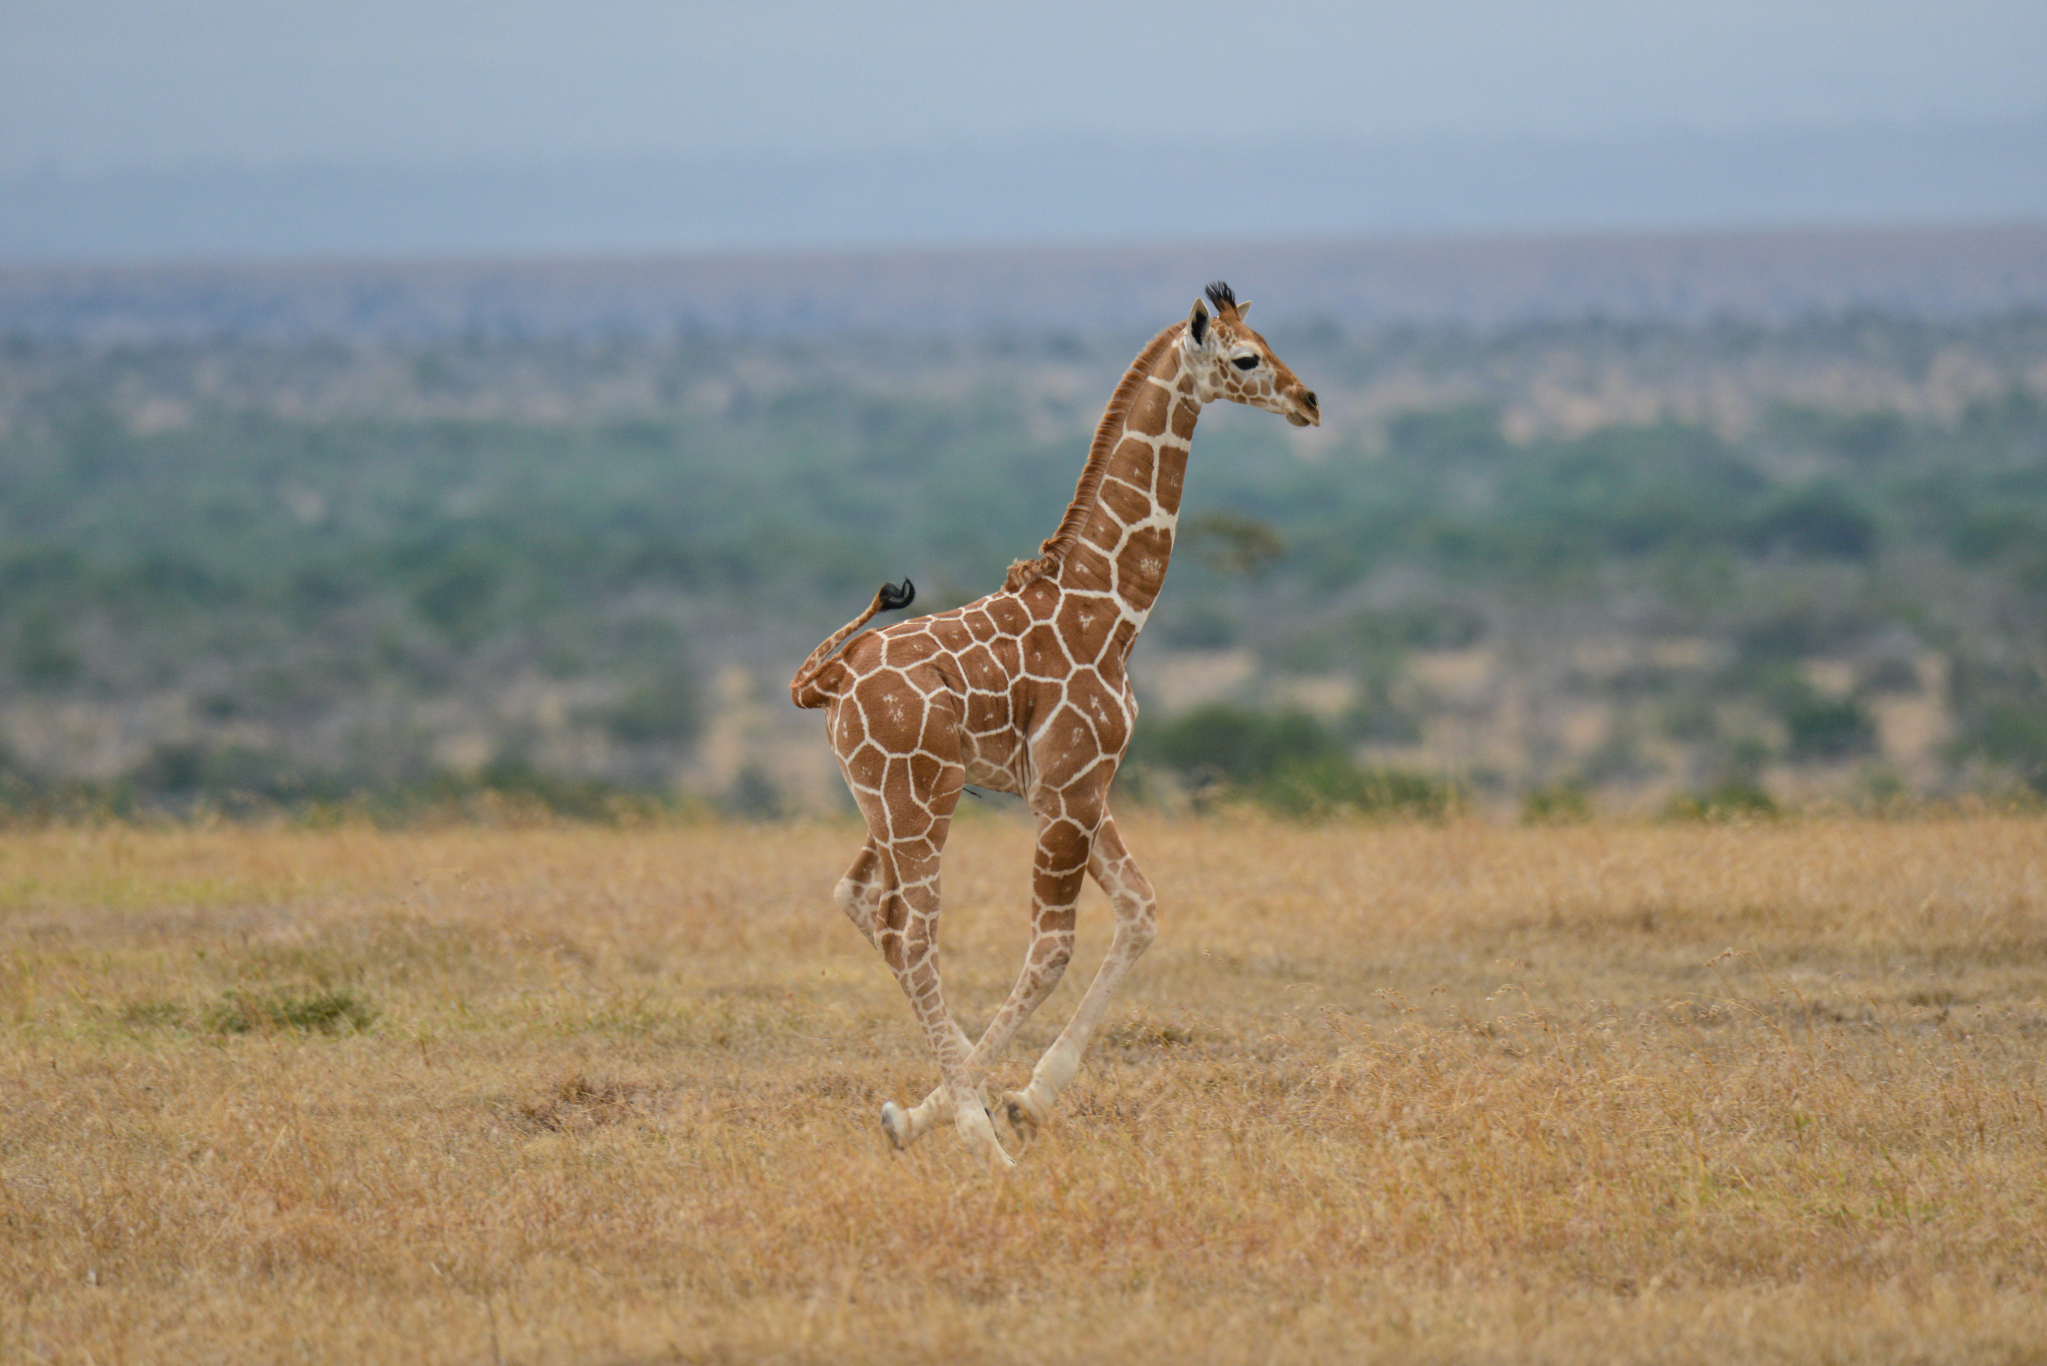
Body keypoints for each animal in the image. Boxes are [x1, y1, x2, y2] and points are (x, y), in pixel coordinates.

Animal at [790, 282, 1318, 1171]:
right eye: (1246, 358)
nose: (1308, 401)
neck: (1112, 611)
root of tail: (830, 682)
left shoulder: (1077, 785)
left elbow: (1140, 911)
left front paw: (1013, 1100)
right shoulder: (1071, 781)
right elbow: (1051, 947)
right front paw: (991, 1111)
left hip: (887, 803)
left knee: (860, 903)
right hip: (918, 803)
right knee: (913, 935)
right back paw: (979, 1144)